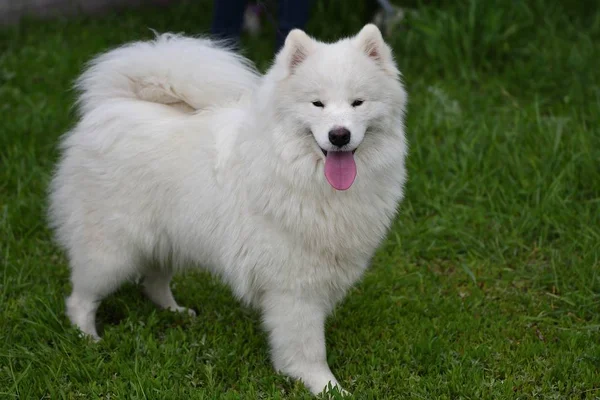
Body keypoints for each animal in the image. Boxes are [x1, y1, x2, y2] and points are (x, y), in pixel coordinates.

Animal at [48, 25, 408, 396]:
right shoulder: (293, 287)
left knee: (153, 280)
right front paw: (324, 386)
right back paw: (88, 339)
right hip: (112, 252)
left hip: (166, 237)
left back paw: (175, 312)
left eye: (358, 102)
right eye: (317, 103)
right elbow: (308, 349)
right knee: (80, 298)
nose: (339, 135)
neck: (299, 174)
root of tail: (112, 104)